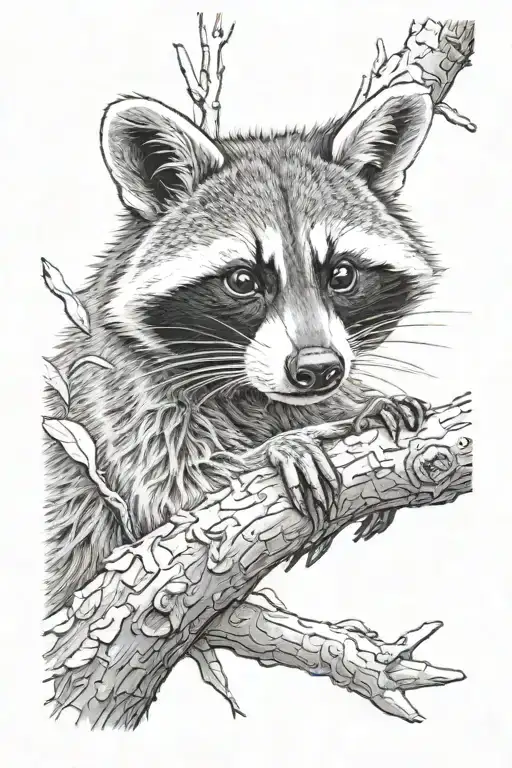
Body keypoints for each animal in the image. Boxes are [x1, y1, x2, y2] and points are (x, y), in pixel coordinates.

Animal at [44, 83, 438, 614]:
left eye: (341, 274)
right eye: (244, 281)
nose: (318, 369)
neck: (247, 389)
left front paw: (361, 407)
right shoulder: (118, 392)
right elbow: (173, 491)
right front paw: (292, 443)